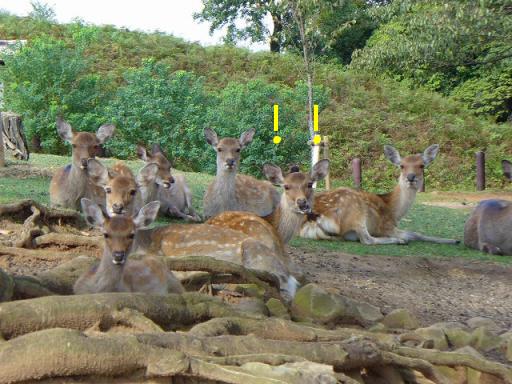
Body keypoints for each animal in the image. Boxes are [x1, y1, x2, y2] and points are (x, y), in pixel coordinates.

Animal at [298, 146, 458, 244]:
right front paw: (453, 240)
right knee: (367, 239)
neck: (393, 210)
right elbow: (414, 233)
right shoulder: (385, 226)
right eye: (402, 166)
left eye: (422, 165)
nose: (411, 177)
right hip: (356, 212)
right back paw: (399, 241)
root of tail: (312, 219)